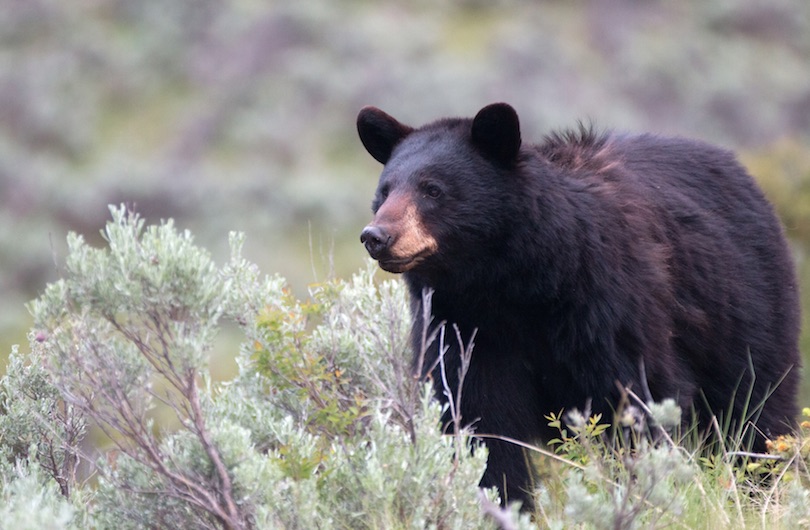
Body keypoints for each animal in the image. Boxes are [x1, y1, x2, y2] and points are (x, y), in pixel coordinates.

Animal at [356, 102, 800, 504]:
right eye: (385, 191)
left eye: (433, 189)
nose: (376, 236)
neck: (511, 286)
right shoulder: (463, 328)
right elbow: (479, 421)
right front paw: (501, 501)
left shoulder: (607, 304)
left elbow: (635, 398)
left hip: (747, 309)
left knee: (756, 408)